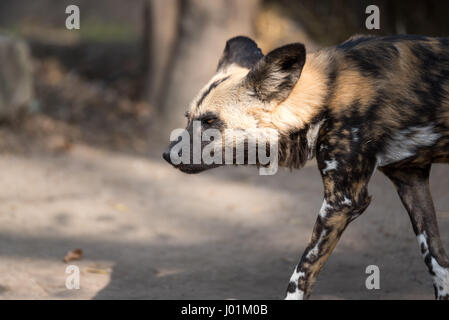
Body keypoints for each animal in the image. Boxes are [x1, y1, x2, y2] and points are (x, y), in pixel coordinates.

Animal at [163, 35, 448, 300]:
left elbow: (301, 275)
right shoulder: (411, 179)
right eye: (188, 118)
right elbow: (438, 264)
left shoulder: (343, 201)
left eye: (210, 121)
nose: (166, 155)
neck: (327, 95)